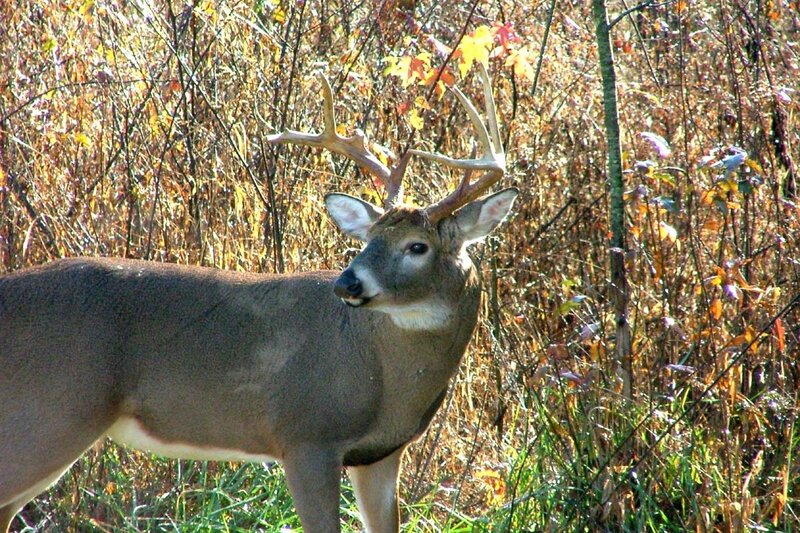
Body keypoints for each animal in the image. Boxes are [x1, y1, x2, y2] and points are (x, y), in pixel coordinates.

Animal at [0, 64, 517, 533]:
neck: (385, 376)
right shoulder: (306, 435)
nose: (346, 284)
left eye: (417, 246)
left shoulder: (380, 454)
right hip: (51, 410)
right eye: (369, 237)